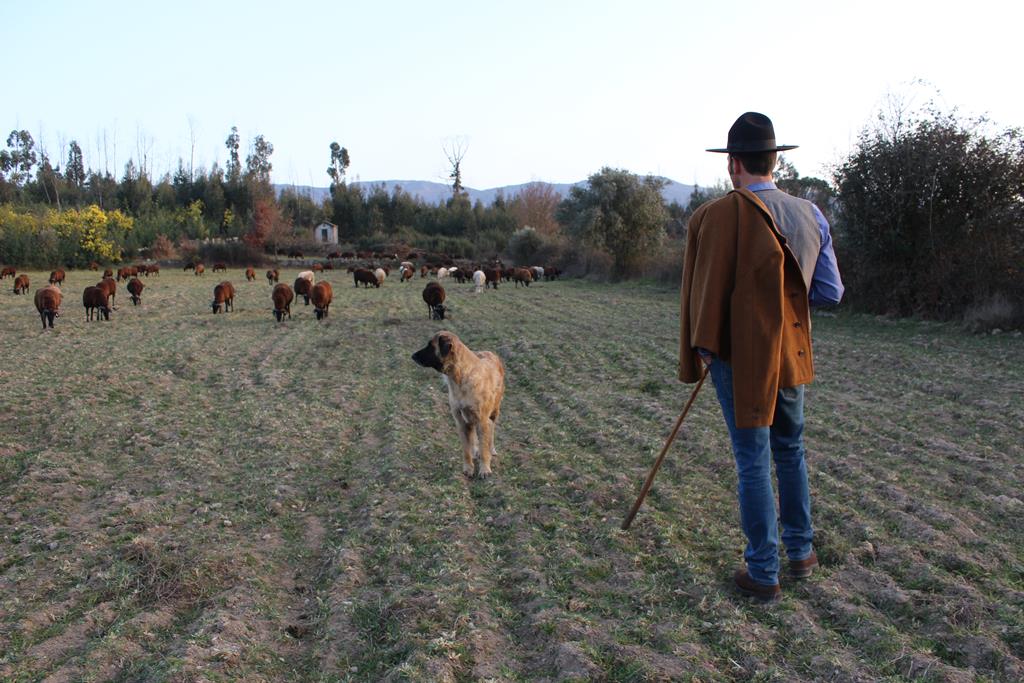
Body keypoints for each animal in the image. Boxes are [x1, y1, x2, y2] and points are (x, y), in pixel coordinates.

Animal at [413, 333, 505, 479]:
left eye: (431, 346)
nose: (413, 356)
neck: (460, 377)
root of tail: (491, 352)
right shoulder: (461, 421)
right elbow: (466, 449)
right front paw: (468, 468)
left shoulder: (482, 420)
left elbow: (484, 446)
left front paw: (485, 469)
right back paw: (475, 450)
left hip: (494, 412)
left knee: (491, 432)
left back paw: (491, 449)